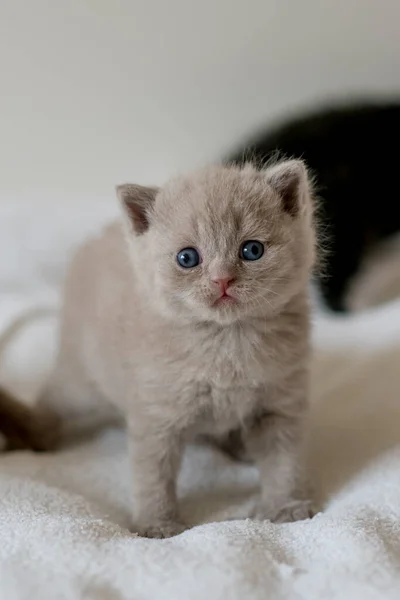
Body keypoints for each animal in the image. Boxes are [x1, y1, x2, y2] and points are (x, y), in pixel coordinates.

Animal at [39, 161, 318, 540]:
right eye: (187, 258)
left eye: (252, 250)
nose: (222, 279)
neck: (226, 342)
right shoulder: (157, 413)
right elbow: (153, 473)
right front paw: (157, 525)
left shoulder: (280, 404)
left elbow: (284, 461)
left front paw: (285, 507)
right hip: (81, 383)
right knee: (52, 396)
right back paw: (36, 435)